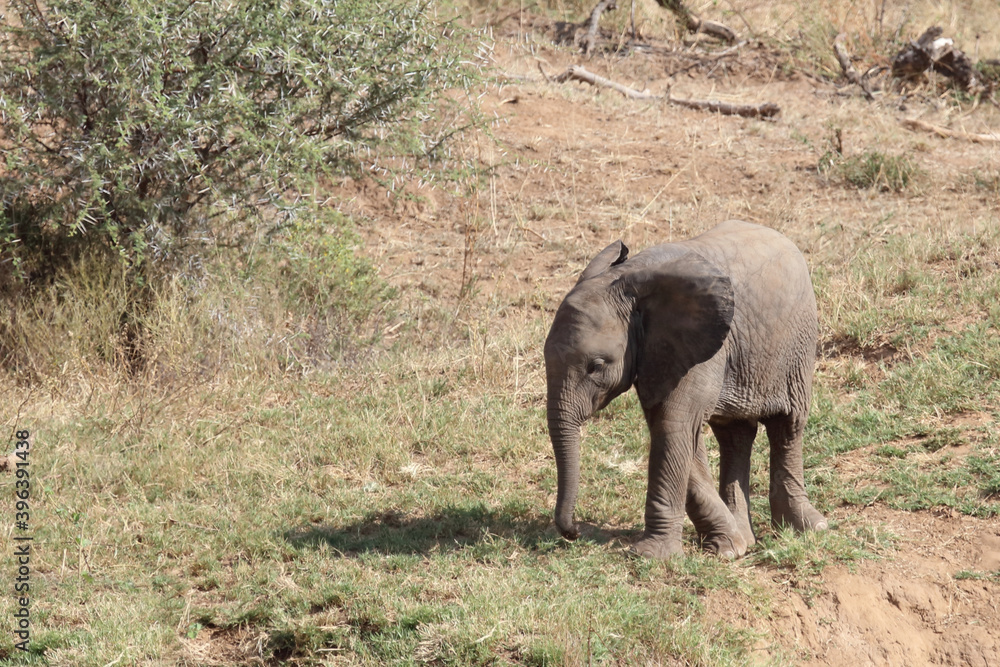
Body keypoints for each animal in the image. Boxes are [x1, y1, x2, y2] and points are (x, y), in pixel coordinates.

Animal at [543, 220, 828, 559]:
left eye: (596, 366)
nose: (574, 531)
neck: (626, 279)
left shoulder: (699, 346)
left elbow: (673, 424)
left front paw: (650, 556)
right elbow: (674, 429)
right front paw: (730, 548)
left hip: (798, 347)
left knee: (788, 426)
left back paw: (808, 528)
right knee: (734, 435)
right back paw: (747, 538)